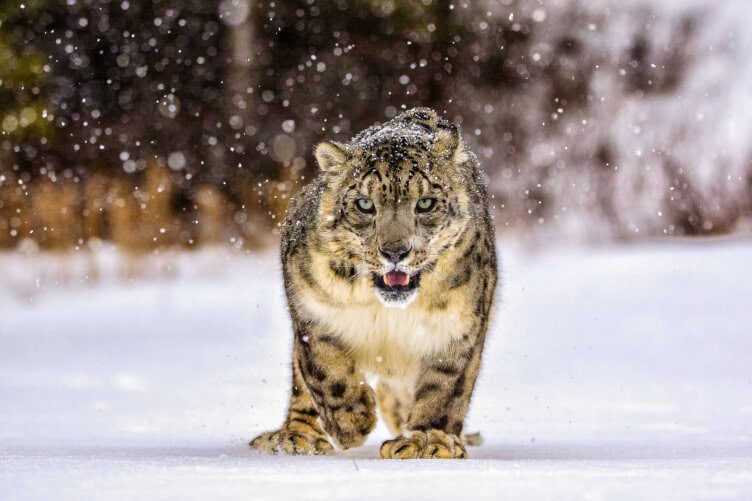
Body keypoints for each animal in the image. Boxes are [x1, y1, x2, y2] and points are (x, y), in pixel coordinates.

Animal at [250, 107, 497, 459]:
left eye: (426, 203)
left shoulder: (458, 329)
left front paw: (427, 442)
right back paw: (296, 439)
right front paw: (353, 421)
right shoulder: (309, 308)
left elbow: (444, 389)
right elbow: (322, 368)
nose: (395, 251)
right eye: (365, 204)